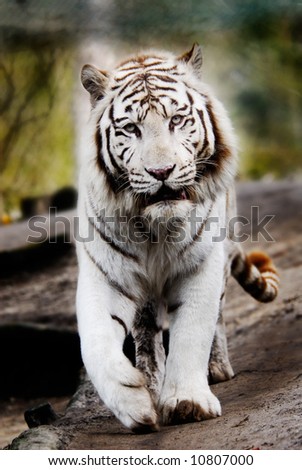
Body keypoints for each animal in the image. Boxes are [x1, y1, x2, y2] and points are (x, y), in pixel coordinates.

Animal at [76, 45, 280, 434]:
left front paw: (188, 403)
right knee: (145, 331)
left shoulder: (201, 265)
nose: (161, 172)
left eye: (176, 120)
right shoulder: (104, 275)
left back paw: (217, 368)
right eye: (131, 128)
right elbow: (95, 343)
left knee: (217, 319)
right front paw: (134, 402)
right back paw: (151, 381)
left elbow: (193, 331)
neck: (154, 228)